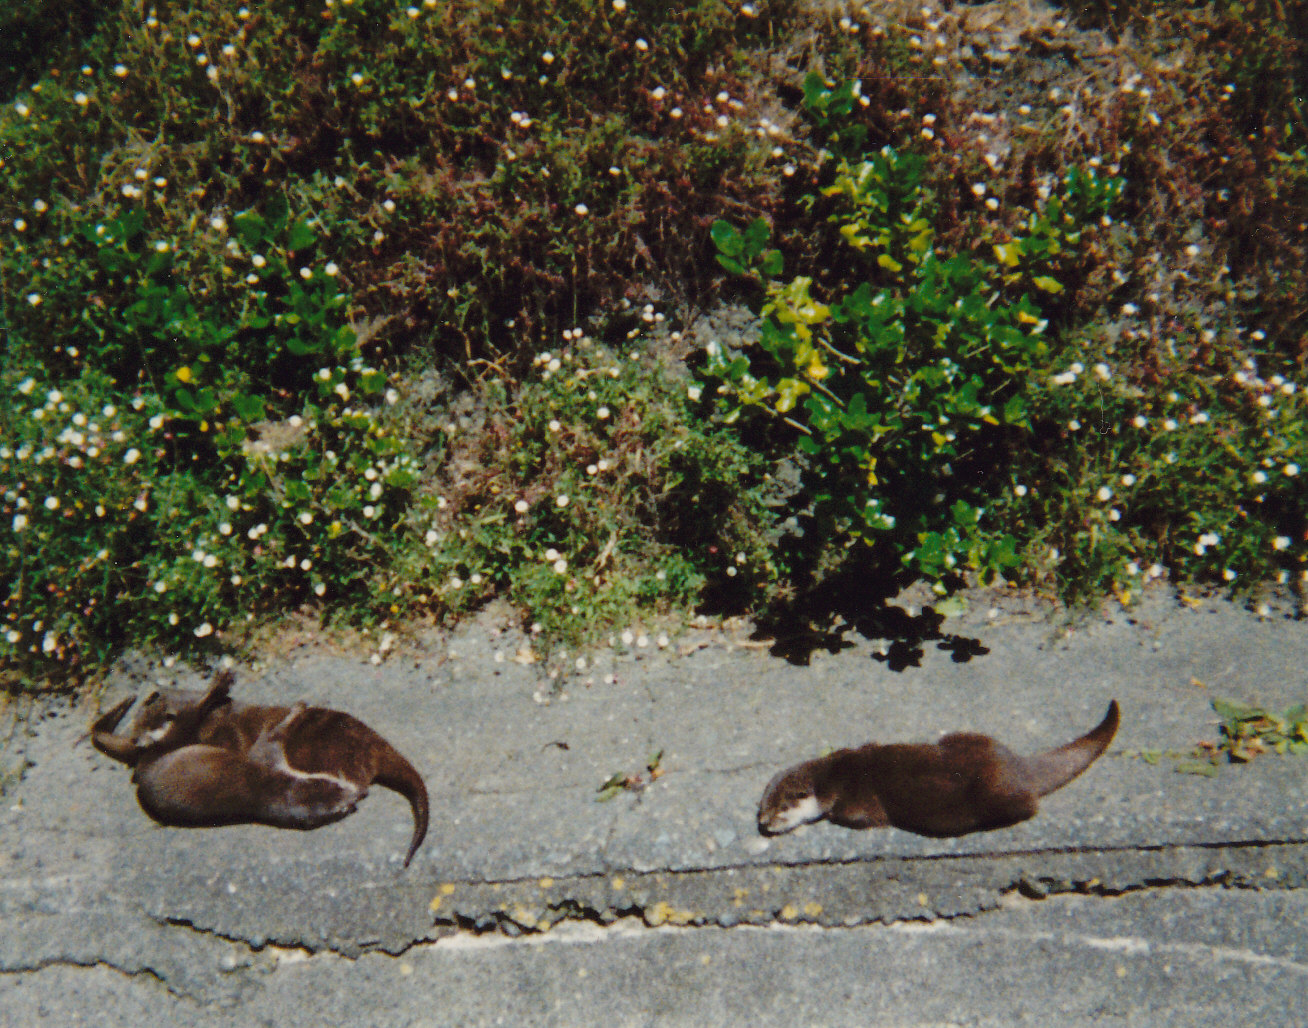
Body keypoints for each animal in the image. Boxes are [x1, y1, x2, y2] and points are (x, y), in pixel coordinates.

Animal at [758, 700, 1119, 838]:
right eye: (761, 806)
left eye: (779, 810)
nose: (762, 824)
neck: (836, 774)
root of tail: (1017, 764)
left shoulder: (858, 802)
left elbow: (855, 818)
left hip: (996, 791)